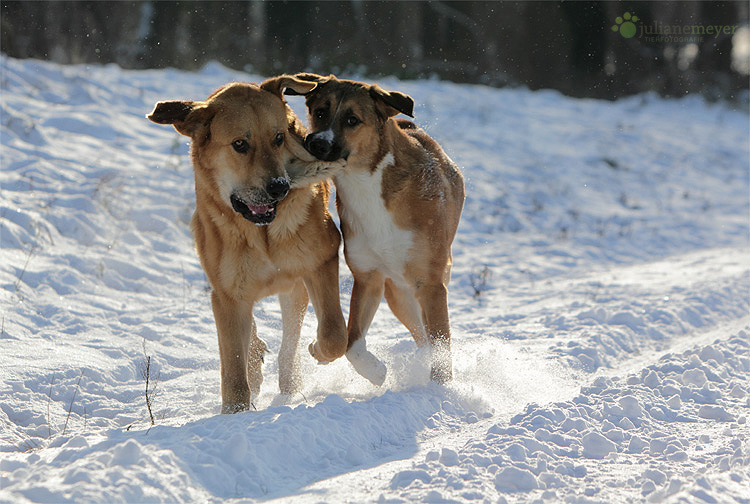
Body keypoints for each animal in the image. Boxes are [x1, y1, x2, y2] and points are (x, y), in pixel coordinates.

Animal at [148, 76, 352, 414]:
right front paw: (235, 412)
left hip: (294, 287)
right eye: (240, 144)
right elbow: (233, 370)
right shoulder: (227, 296)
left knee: (289, 341)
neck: (262, 233)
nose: (279, 187)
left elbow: (334, 334)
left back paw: (290, 382)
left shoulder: (320, 261)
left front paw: (318, 350)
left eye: (278, 138)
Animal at [288, 73, 464, 384]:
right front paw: (374, 371)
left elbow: (441, 350)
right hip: (399, 295)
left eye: (352, 120)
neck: (366, 185)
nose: (317, 143)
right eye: (319, 111)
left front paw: (440, 389)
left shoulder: (430, 283)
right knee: (421, 336)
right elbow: (351, 343)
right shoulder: (369, 277)